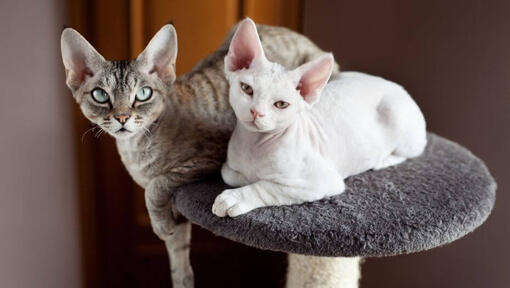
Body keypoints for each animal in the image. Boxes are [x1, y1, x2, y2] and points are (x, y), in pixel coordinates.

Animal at [60, 20, 338, 288]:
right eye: (100, 95)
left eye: (143, 94)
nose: (122, 118)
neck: (136, 149)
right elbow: (177, 253)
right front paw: (180, 272)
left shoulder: (208, 158)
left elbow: (157, 186)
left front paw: (159, 224)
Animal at [211, 19, 426, 217]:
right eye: (247, 88)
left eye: (281, 104)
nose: (256, 112)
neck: (253, 145)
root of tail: (397, 86)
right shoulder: (229, 166)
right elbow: (230, 174)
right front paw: (247, 179)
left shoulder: (321, 181)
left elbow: (267, 186)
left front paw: (235, 197)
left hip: (396, 116)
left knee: (409, 152)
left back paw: (382, 160)